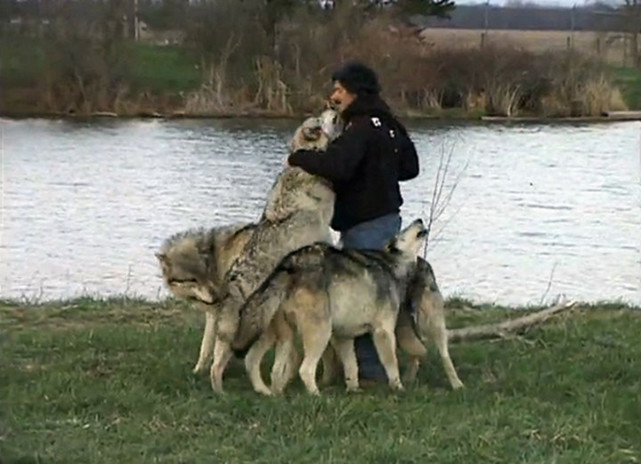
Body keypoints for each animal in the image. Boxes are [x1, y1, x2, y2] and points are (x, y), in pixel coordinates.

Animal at [232, 218, 428, 396]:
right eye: (403, 231)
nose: (419, 219)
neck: (393, 263)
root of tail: (291, 264)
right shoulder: (383, 332)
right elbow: (391, 364)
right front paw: (399, 387)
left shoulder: (344, 336)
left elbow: (352, 366)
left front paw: (353, 390)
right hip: (321, 333)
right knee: (305, 369)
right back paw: (315, 396)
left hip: (286, 336)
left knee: (274, 370)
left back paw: (275, 395)